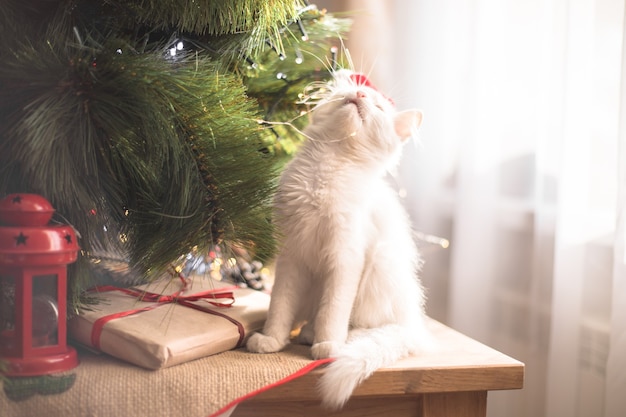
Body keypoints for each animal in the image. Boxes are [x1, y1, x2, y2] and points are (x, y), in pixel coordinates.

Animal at [245, 70, 428, 408]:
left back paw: (334, 339)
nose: (362, 95)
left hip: (380, 266)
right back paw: (307, 333)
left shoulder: (345, 258)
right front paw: (272, 340)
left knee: (363, 324)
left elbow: (334, 309)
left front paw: (328, 344)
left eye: (379, 107)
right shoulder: (292, 257)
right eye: (353, 91)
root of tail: (414, 323)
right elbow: (280, 307)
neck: (326, 169)